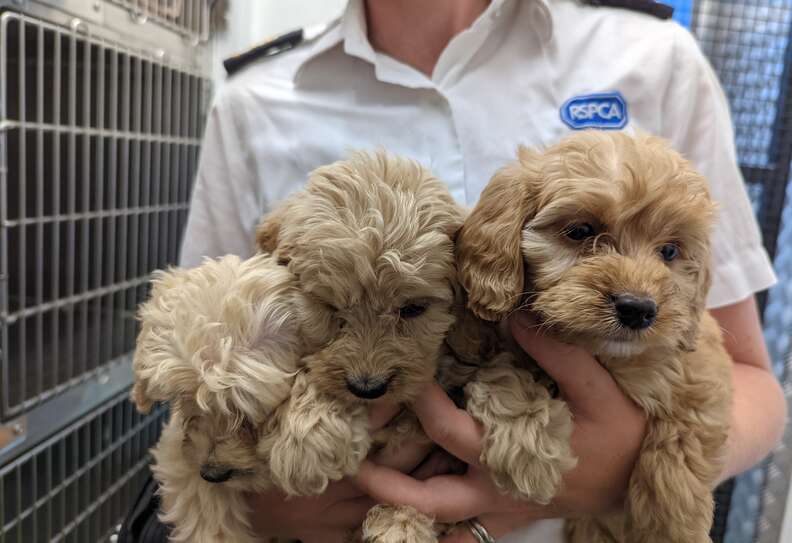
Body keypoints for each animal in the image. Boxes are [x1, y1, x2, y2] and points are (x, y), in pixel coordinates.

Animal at [454, 132, 732, 543]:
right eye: (581, 231)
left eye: (669, 251)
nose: (637, 309)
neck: (606, 354)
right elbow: (505, 370)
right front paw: (528, 447)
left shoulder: (705, 367)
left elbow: (688, 427)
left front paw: (671, 520)